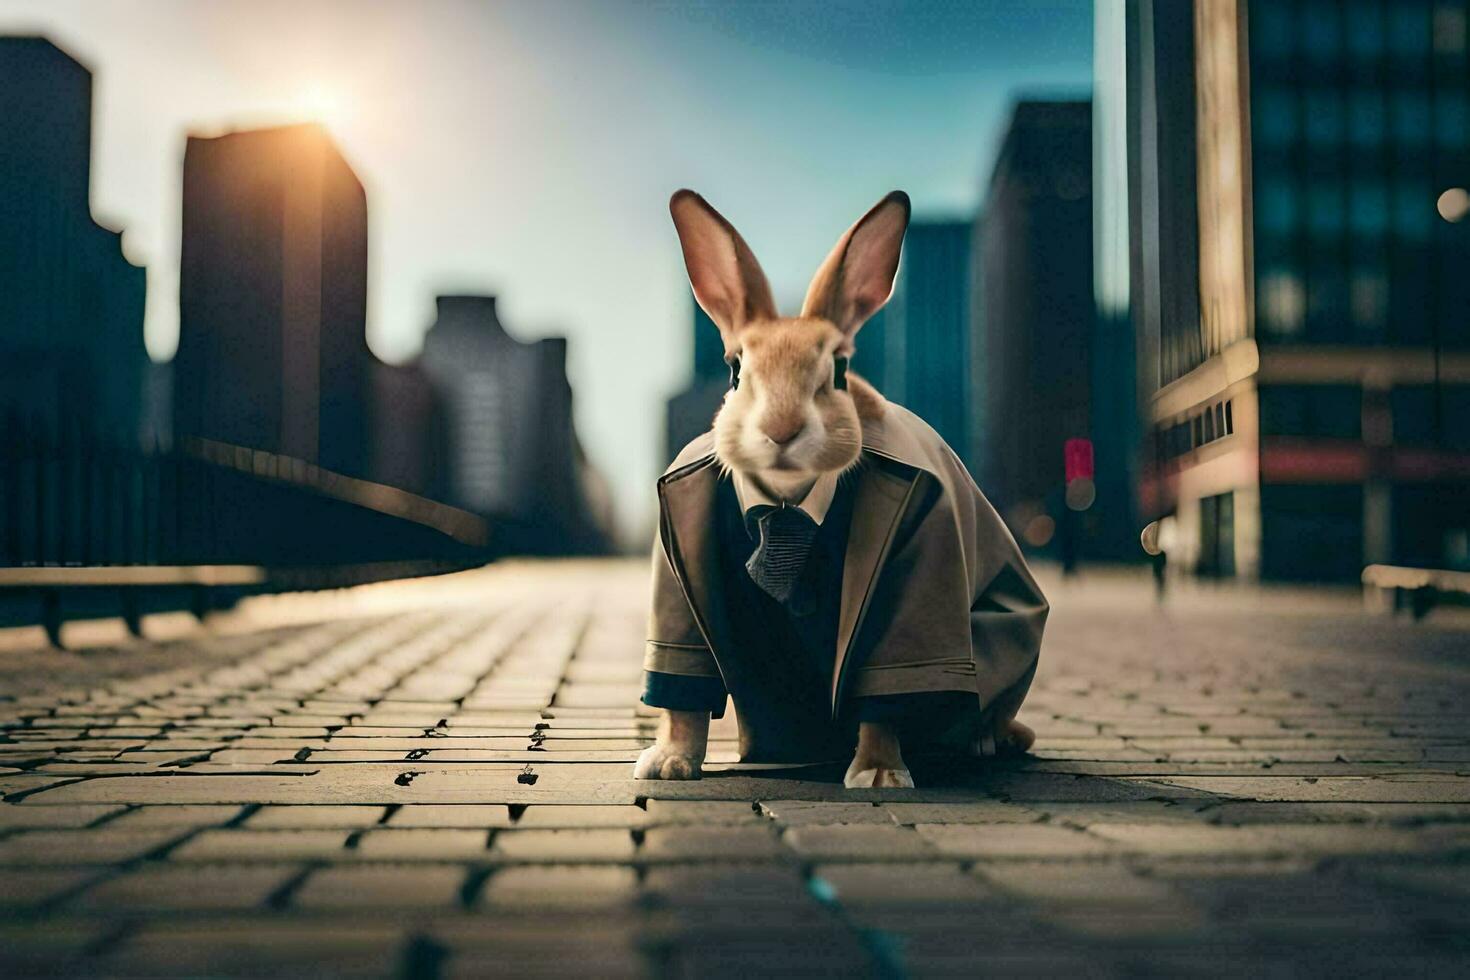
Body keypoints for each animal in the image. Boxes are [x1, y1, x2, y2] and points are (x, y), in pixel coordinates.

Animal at [635, 189, 1046, 787]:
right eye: (736, 371)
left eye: (838, 370)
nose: (782, 429)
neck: (787, 502)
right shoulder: (678, 587)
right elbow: (682, 688)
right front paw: (667, 764)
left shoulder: (916, 577)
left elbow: (884, 687)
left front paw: (878, 775)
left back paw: (992, 741)